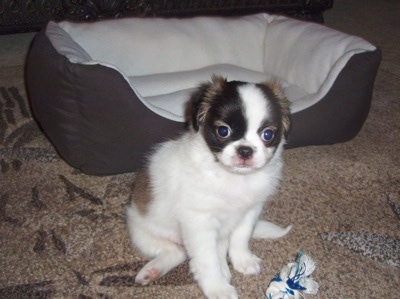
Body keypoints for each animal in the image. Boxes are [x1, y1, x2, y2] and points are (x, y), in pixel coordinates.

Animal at [126, 75, 292, 299]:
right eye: (223, 131)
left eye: (267, 134)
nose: (245, 150)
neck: (233, 178)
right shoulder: (199, 223)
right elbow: (207, 260)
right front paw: (217, 288)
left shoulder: (249, 212)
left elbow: (240, 238)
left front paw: (242, 260)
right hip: (141, 234)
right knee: (176, 251)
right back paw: (152, 271)